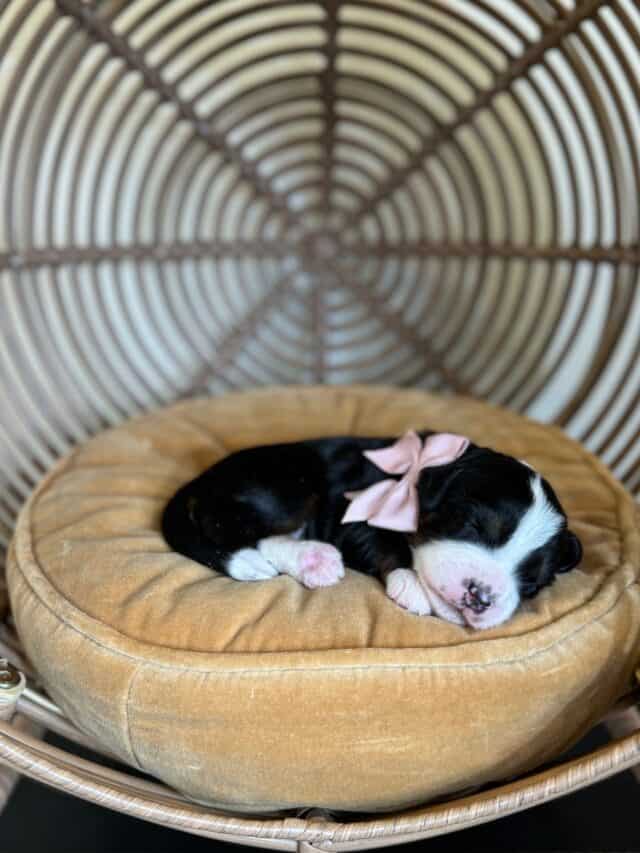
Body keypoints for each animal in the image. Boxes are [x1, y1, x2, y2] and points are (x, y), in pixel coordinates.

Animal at [162, 432, 584, 624]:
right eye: (471, 526)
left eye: (532, 584)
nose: (479, 596)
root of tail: (201, 480)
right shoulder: (354, 512)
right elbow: (386, 545)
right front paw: (410, 583)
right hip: (285, 487)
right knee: (228, 527)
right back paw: (314, 558)